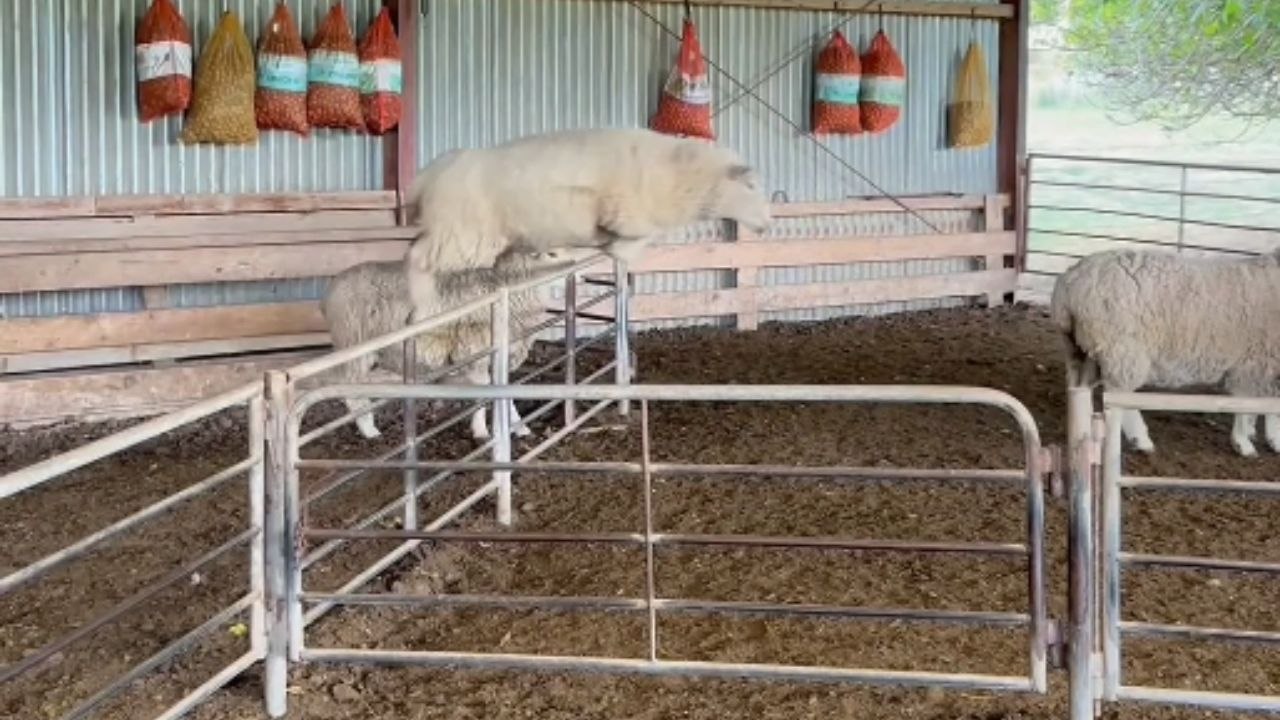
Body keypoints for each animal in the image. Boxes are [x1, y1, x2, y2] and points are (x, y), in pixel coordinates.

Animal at [318, 245, 586, 442]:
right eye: (552, 253)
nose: (580, 272)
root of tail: (332, 287)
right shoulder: (476, 350)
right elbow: (485, 392)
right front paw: (481, 431)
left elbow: (505, 391)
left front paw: (519, 428)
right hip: (353, 342)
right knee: (349, 390)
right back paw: (369, 431)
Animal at [401, 126, 772, 316]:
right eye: (752, 186)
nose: (768, 226)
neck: (676, 177)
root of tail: (428, 176)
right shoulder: (624, 212)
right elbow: (631, 239)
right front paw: (613, 252)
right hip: (461, 235)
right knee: (416, 259)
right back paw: (422, 306)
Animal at [1051, 247, 1280, 457]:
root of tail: (1068, 285)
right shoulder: (1254, 362)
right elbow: (1246, 406)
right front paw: (1244, 443)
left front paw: (1269, 438)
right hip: (1122, 349)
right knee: (1119, 394)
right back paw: (1140, 439)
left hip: (1082, 349)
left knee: (1080, 388)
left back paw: (1083, 427)